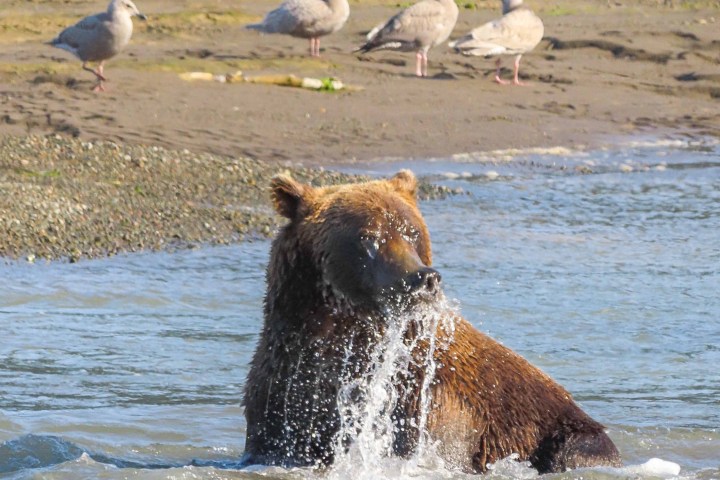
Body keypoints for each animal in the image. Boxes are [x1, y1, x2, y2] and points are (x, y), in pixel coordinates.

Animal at [241, 170, 621, 474]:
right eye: (368, 237)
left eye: (411, 232)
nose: (423, 278)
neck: (345, 334)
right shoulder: (286, 387)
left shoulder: (430, 400)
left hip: (569, 435)